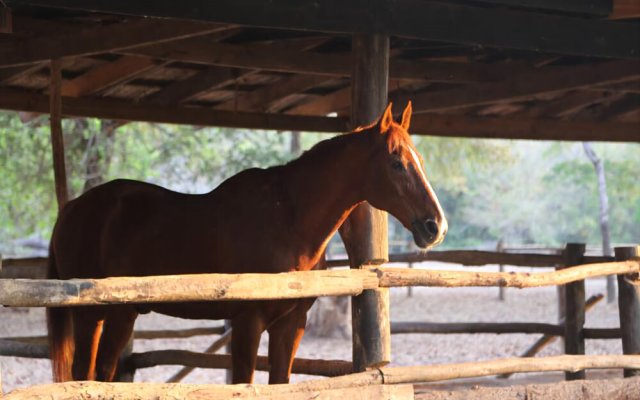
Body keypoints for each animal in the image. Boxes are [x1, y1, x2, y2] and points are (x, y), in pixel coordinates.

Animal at [46, 102, 444, 384]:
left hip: (117, 314)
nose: (435, 226)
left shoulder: (290, 325)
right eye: (396, 162)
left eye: (421, 159)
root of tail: (72, 209)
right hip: (94, 315)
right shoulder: (247, 323)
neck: (288, 220)